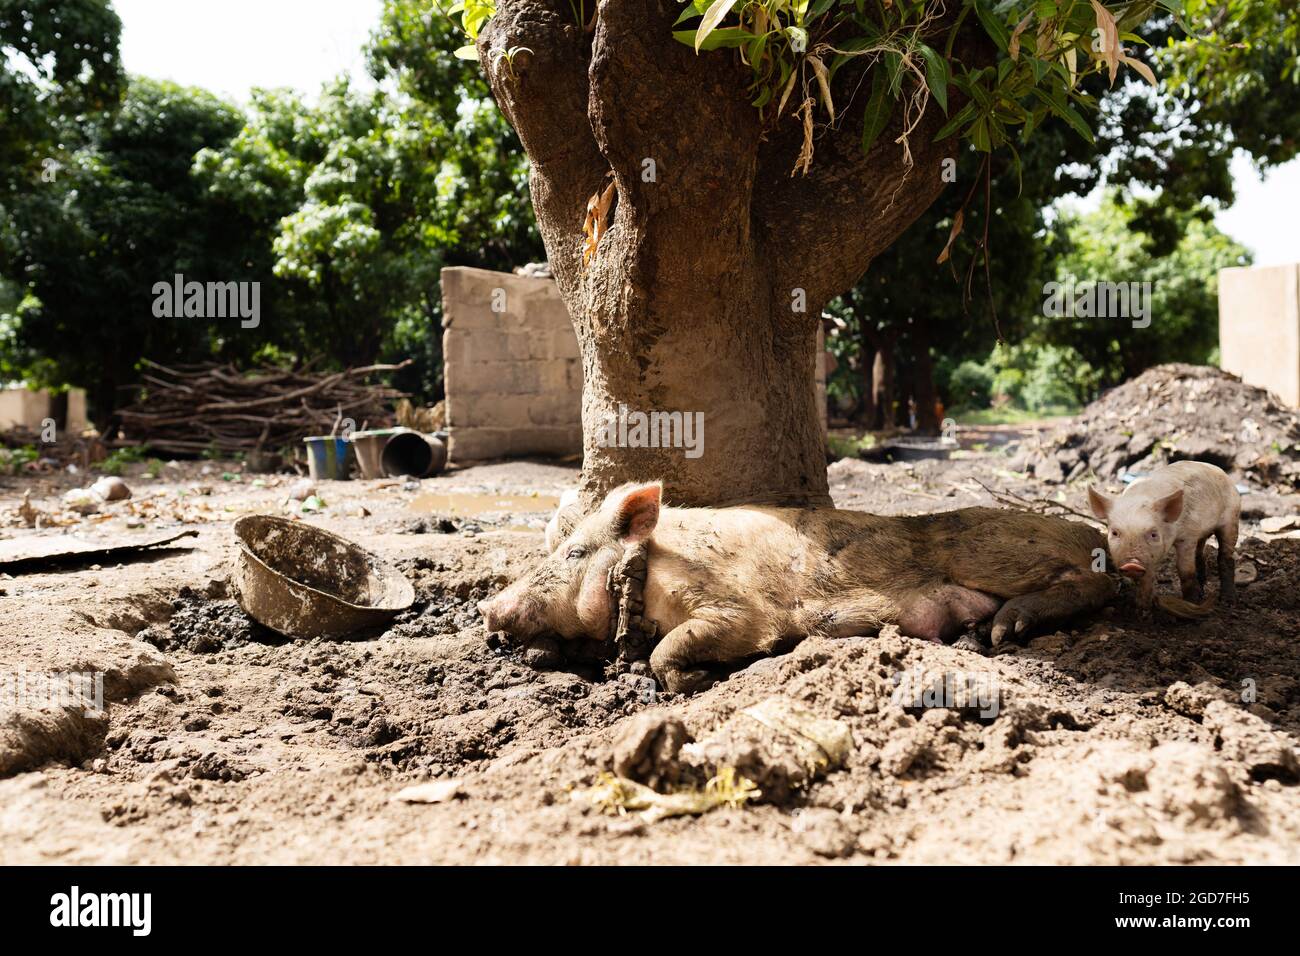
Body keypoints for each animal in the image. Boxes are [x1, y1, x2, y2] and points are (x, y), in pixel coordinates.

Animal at [483, 481, 1112, 691]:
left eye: (574, 553)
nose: (490, 607)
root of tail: (1087, 529)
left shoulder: (741, 611)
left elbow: (676, 647)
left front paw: (698, 680)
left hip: (994, 552)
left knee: (1100, 585)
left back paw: (1007, 630)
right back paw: (979, 632)